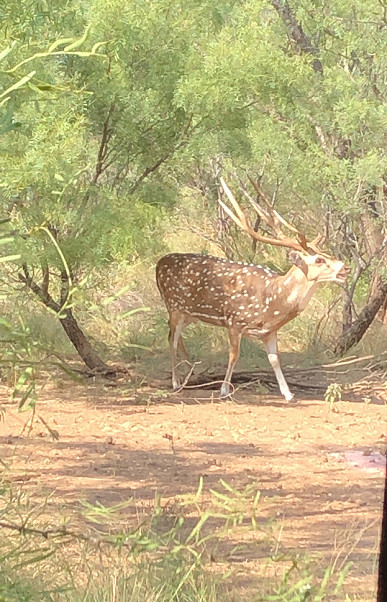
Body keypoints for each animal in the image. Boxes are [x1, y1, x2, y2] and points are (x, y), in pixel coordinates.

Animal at [155, 178, 352, 404]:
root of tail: (159, 264)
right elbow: (234, 355)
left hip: (189, 314)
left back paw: (191, 374)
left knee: (175, 338)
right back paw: (176, 382)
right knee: (172, 339)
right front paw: (224, 390)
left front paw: (289, 394)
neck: (272, 302)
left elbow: (275, 360)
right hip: (174, 306)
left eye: (326, 253)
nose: (346, 268)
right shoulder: (234, 320)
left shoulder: (270, 331)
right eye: (319, 259)